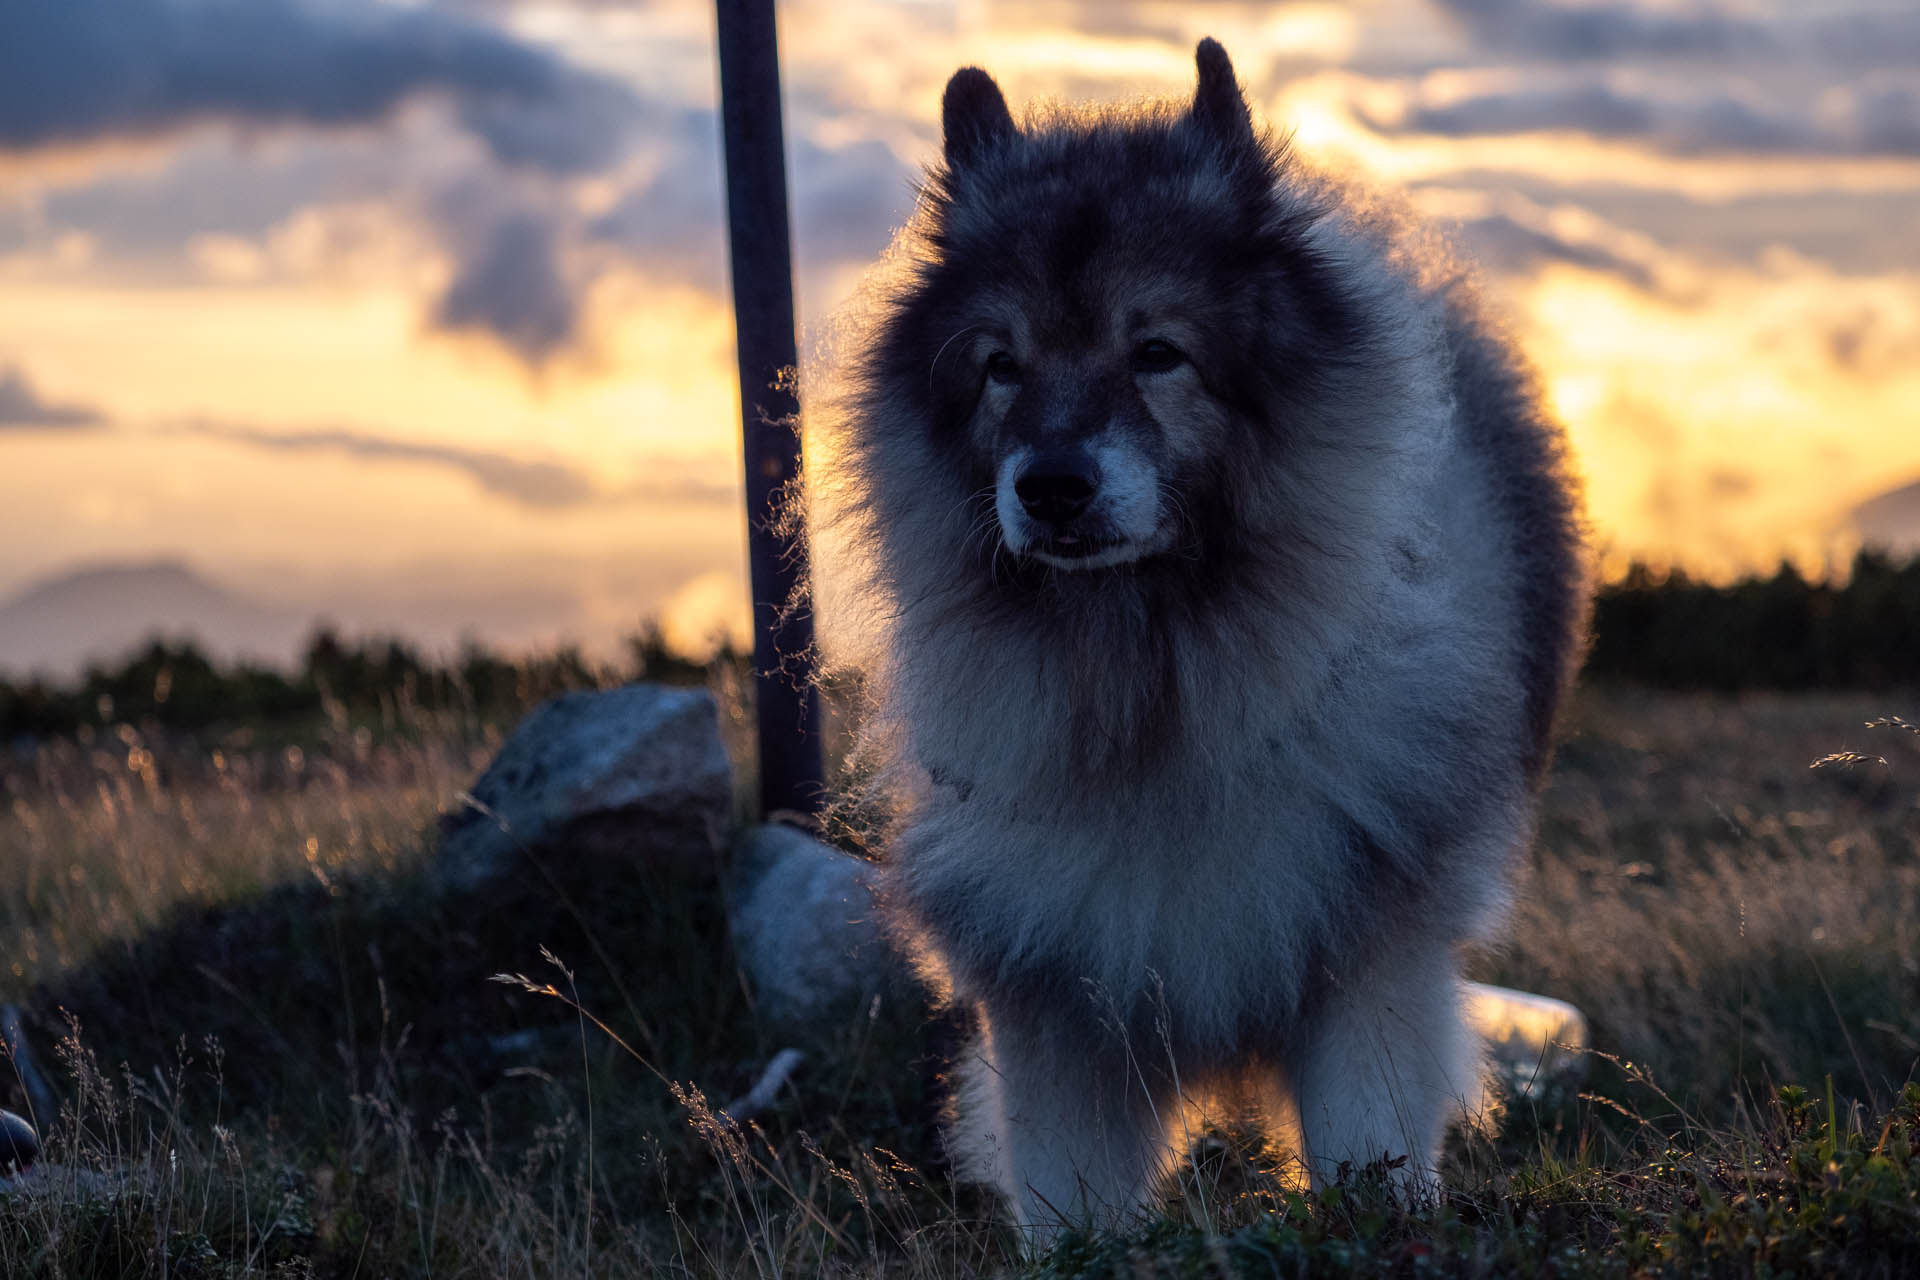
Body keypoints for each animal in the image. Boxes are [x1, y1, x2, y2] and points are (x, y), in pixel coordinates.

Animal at [802, 37, 1582, 1243]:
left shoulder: (1368, 954)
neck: (1160, 690)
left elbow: (1371, 1142)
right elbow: (1070, 1193)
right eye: (1000, 364)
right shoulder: (1058, 992)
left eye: (1158, 352)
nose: (1052, 486)